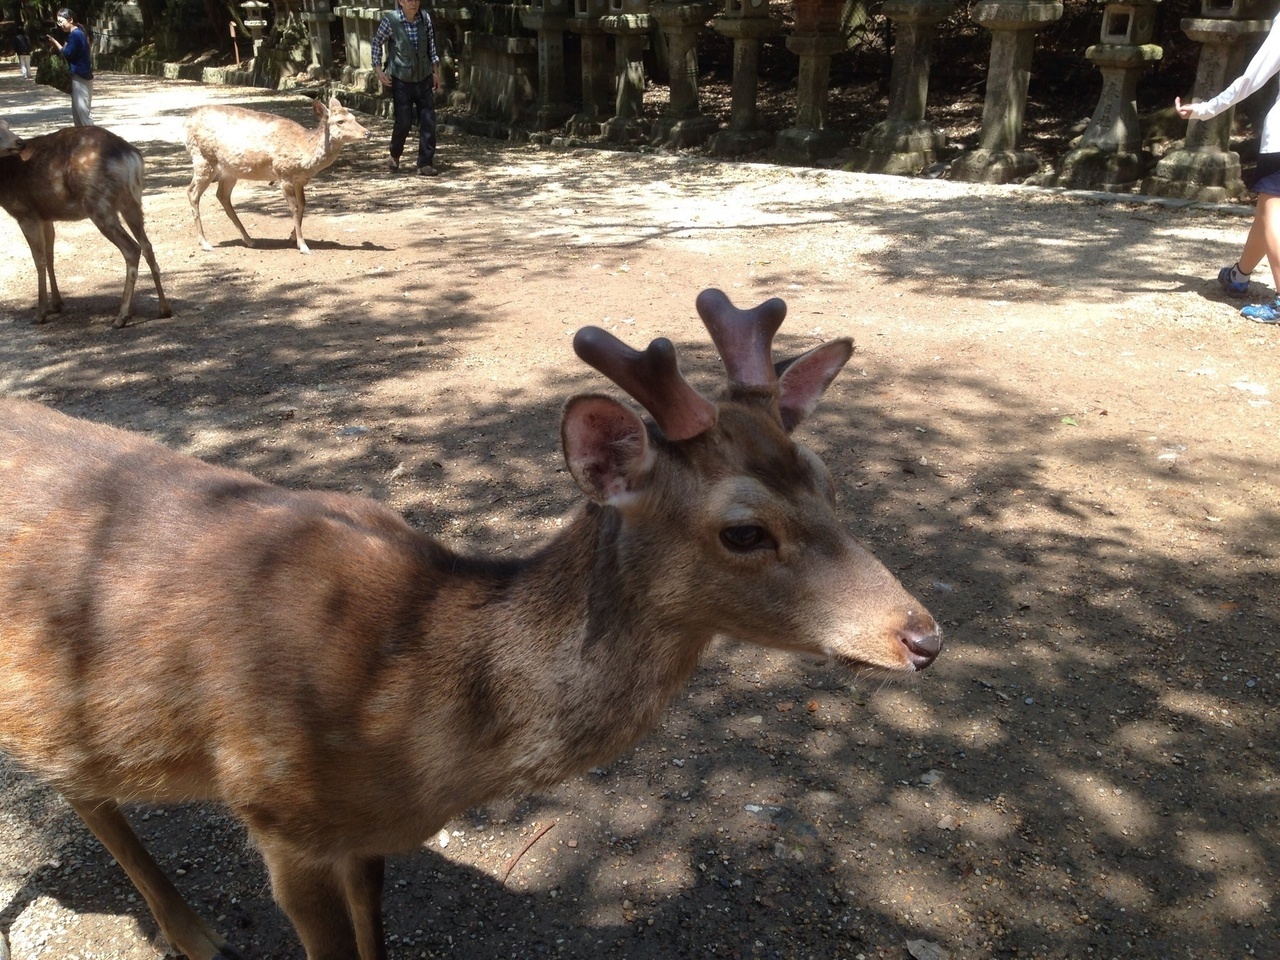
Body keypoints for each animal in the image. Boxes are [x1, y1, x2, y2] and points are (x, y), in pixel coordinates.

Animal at [0, 117, 171, 330]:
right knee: (147, 245)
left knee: (132, 248)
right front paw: (56, 304)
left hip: (99, 203)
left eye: (6, 125)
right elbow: (50, 256)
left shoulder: (26, 213)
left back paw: (121, 317)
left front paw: (40, 314)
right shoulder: (45, 215)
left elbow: (38, 260)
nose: (19, 142)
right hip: (132, 200)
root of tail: (130, 155)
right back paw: (163, 309)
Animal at [0, 289, 942, 957]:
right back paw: (196, 937)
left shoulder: (364, 836)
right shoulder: (277, 815)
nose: (924, 636)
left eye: (828, 480)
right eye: (743, 530)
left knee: (76, 781)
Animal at [185, 96, 373, 256]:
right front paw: (303, 246)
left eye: (354, 117)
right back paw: (205, 243)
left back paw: (249, 240)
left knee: (222, 195)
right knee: (192, 192)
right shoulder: (283, 173)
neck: (304, 153)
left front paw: (292, 238)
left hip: (229, 171)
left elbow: (303, 205)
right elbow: (294, 207)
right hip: (204, 158)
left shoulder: (300, 180)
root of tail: (187, 121)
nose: (367, 133)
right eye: (340, 121)